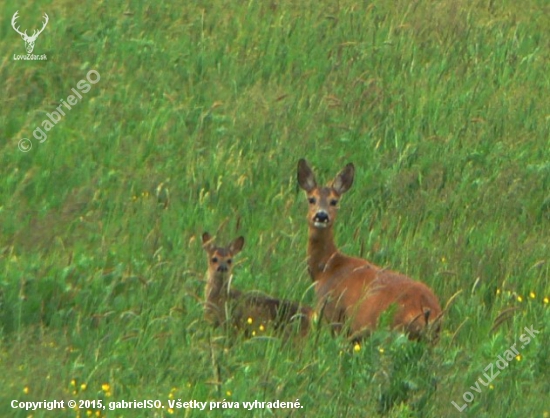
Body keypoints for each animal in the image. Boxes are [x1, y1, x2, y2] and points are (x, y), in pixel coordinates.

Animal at [298, 158, 444, 342]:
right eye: (311, 199)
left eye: (334, 201)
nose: (322, 216)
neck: (327, 269)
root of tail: (431, 311)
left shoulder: (333, 313)